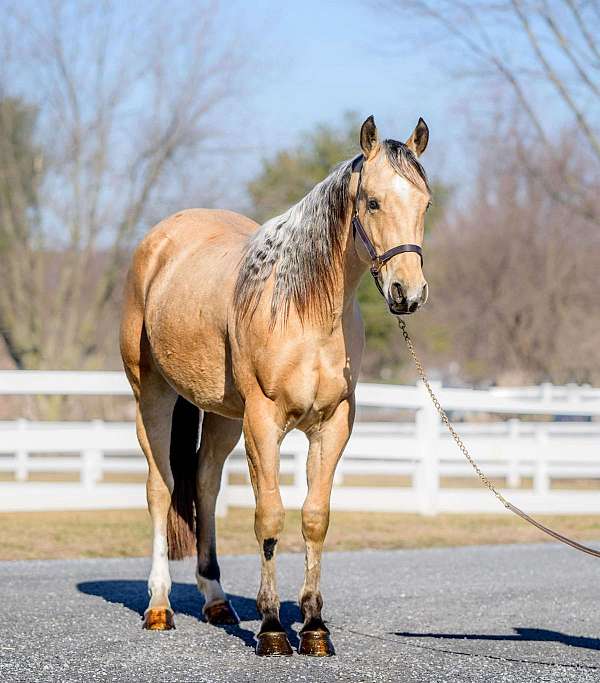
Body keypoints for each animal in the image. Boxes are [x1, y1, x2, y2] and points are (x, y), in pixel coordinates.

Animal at [120, 115, 432, 656]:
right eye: (372, 201)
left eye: (425, 203)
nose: (406, 294)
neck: (304, 309)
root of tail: (158, 243)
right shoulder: (264, 423)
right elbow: (269, 516)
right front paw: (271, 628)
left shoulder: (332, 426)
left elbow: (314, 517)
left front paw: (314, 627)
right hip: (153, 398)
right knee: (162, 488)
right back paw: (159, 606)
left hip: (224, 416)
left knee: (204, 484)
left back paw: (216, 602)